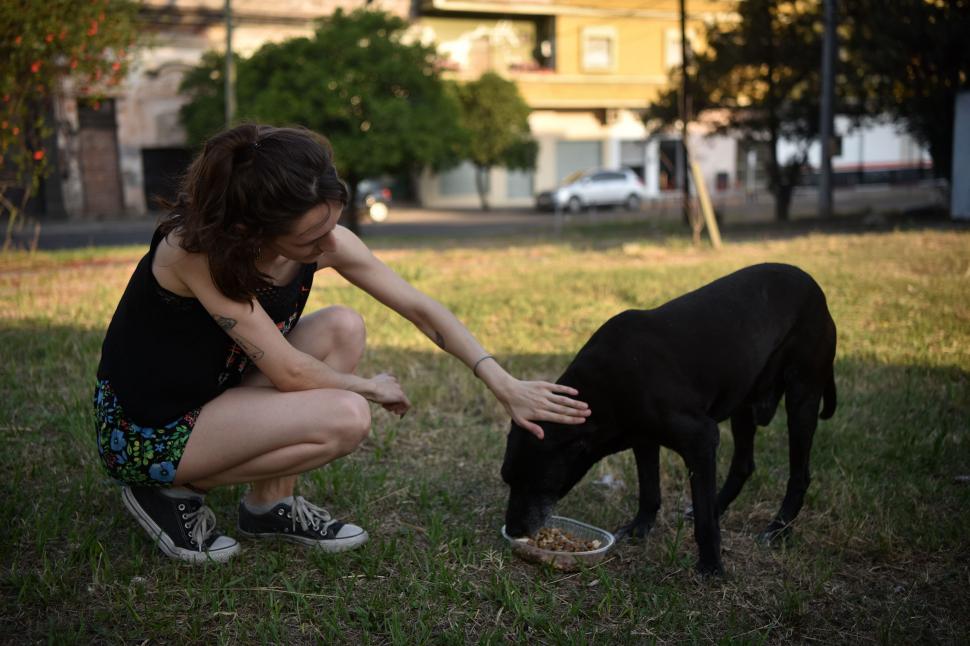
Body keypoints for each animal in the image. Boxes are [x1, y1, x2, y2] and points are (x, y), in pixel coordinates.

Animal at [500, 264, 832, 576]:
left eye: (538, 482)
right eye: (507, 479)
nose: (514, 530)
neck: (602, 390)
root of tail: (813, 285)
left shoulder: (701, 439)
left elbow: (704, 519)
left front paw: (711, 565)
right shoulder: (643, 439)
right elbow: (649, 490)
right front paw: (639, 528)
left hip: (802, 396)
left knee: (799, 474)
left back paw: (778, 529)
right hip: (744, 402)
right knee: (743, 464)